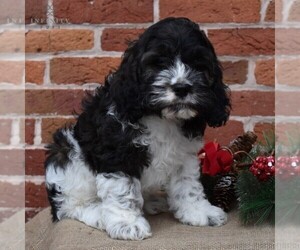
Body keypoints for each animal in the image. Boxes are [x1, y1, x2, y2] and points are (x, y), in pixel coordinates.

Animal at [45, 17, 232, 240]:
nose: (182, 87)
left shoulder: (185, 154)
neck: (161, 116)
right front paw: (127, 224)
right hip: (68, 159)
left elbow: (188, 184)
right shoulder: (117, 154)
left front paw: (198, 211)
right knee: (69, 207)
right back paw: (99, 213)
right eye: (158, 63)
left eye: (197, 64)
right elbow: (123, 191)